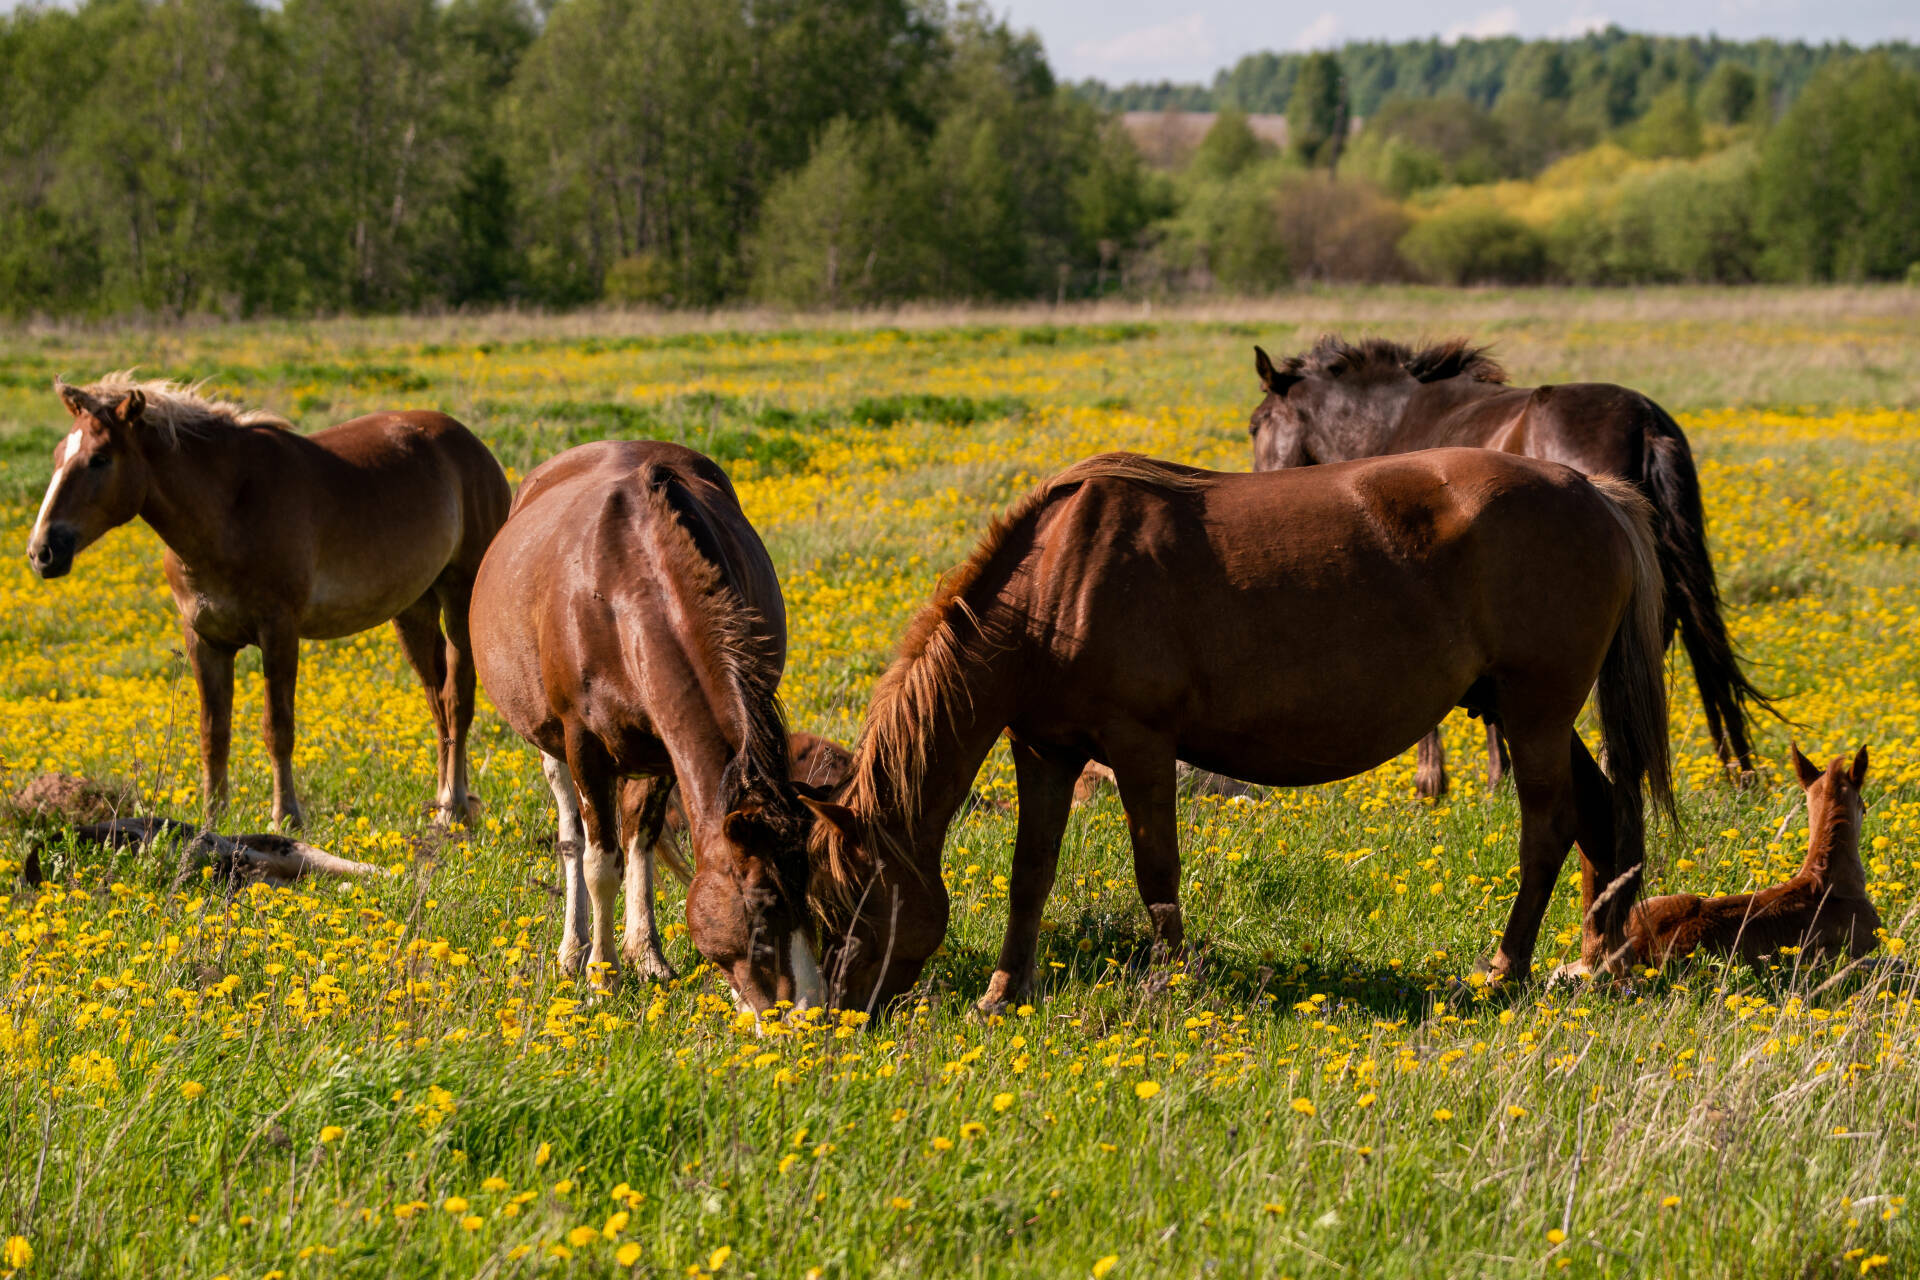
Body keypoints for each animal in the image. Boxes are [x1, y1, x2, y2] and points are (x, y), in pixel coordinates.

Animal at [26, 376, 506, 825]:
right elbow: (213, 733)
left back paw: (453, 809)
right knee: (437, 700)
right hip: (413, 609)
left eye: (100, 459)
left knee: (457, 700)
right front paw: (212, 820)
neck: (230, 509)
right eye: (57, 455)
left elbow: (278, 728)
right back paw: (446, 801)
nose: (42, 551)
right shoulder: (206, 640)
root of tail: (473, 448)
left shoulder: (279, 631)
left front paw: (286, 816)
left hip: (459, 598)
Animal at [472, 443, 825, 1013]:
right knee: (572, 834)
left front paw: (645, 957)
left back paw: (645, 952)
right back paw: (574, 951)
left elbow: (640, 839)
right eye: (760, 906)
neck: (623, 591)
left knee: (636, 833)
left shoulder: (663, 746)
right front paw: (602, 976)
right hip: (552, 743)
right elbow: (599, 863)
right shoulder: (583, 743)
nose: (810, 1013)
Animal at [787, 449, 1674, 1013]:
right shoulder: (1045, 750)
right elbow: (1029, 875)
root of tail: (1595, 492)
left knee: (1547, 830)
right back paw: (1599, 962)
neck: (1054, 584)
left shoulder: (1140, 747)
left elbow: (1156, 872)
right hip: (1526, 711)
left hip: (1536, 710)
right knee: (1602, 820)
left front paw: (1170, 986)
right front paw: (1003, 995)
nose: (841, 1009)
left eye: (856, 900)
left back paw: (1506, 968)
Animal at [1244, 339, 1766, 802]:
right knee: (1692, 650)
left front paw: (1433, 784)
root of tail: (1644, 421)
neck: (1396, 418)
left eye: (1255, 425)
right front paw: (1499, 779)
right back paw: (1737, 774)